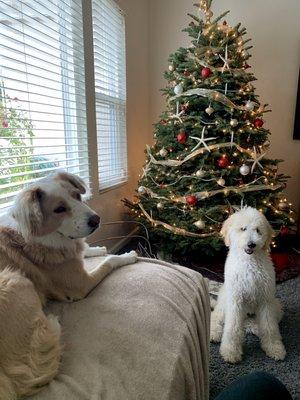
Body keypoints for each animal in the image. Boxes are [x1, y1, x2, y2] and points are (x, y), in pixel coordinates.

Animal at [0, 171, 138, 396]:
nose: (97, 219)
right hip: (16, 281)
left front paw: (95, 249)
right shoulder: (82, 284)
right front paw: (127, 256)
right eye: (59, 209)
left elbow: (85, 250)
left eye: (77, 196)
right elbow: (109, 261)